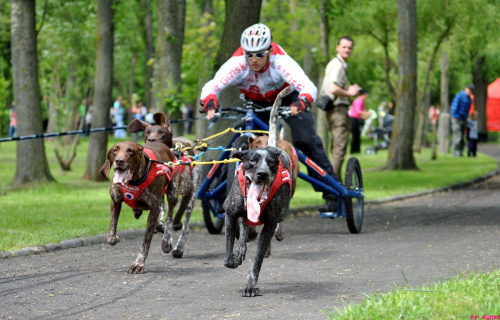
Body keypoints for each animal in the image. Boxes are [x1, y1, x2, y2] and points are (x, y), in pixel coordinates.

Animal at [100, 141, 178, 272]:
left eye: (130, 151)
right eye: (115, 150)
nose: (119, 161)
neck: (133, 181)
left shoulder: (154, 208)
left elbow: (145, 241)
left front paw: (138, 264)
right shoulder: (115, 200)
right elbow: (111, 234)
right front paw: (115, 236)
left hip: (173, 192)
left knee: (170, 217)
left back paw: (166, 241)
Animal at [128, 112, 200, 260]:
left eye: (162, 132)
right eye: (147, 132)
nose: (151, 140)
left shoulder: (188, 191)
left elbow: (175, 216)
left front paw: (172, 229)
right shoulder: (158, 196)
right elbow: (159, 217)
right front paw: (158, 225)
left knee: (185, 226)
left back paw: (179, 247)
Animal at [223, 86, 292, 296]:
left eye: (271, 163)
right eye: (252, 160)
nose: (262, 173)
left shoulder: (270, 224)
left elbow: (258, 260)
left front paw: (251, 285)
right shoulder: (230, 213)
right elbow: (228, 255)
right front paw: (234, 257)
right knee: (245, 225)